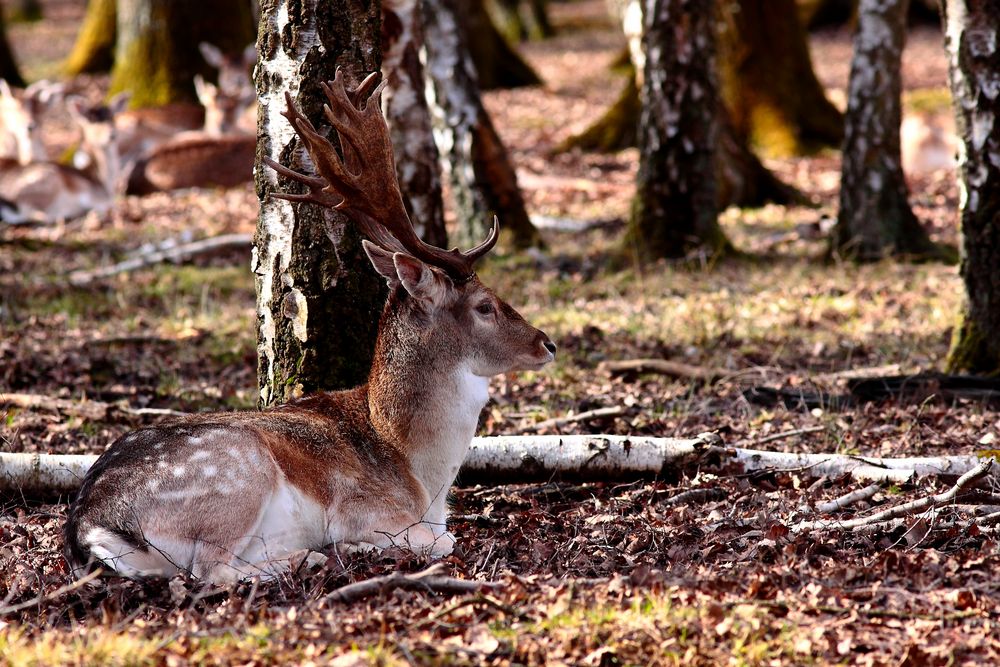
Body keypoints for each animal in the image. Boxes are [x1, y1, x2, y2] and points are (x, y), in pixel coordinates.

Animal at [66, 72, 560, 584]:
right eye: (484, 305)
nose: (548, 344)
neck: (422, 477)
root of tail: (91, 524)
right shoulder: (363, 507)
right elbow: (443, 540)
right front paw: (359, 546)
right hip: (239, 472)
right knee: (209, 571)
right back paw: (315, 556)